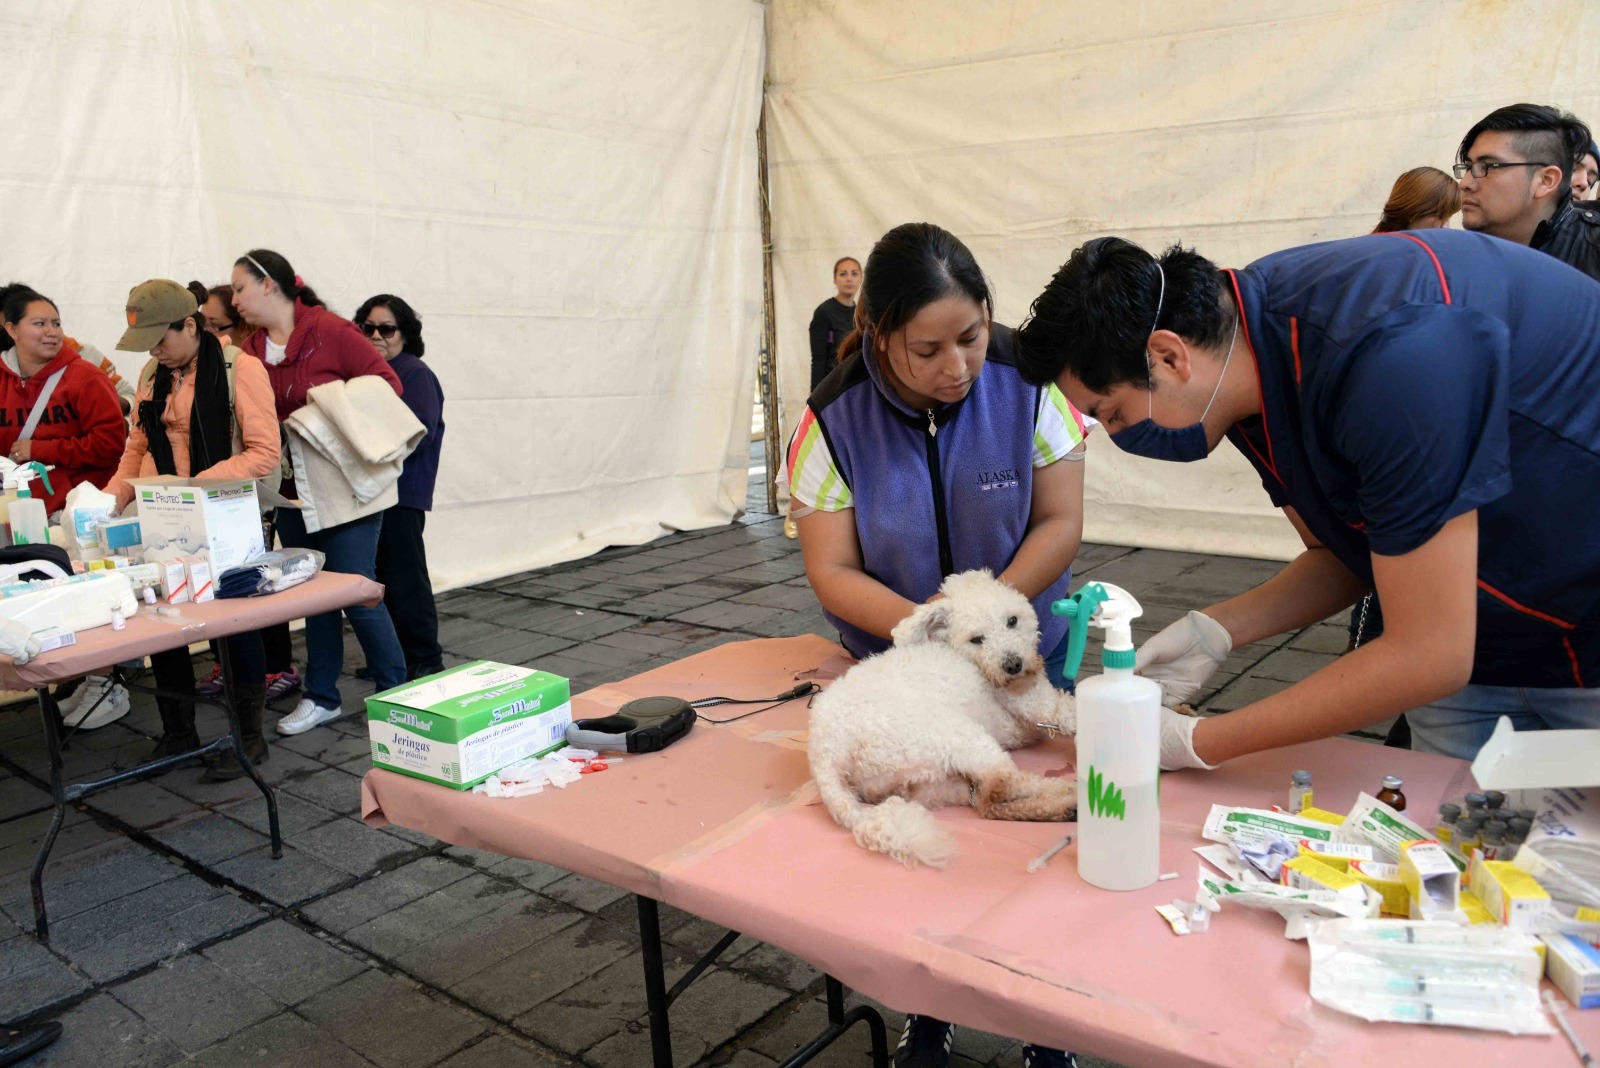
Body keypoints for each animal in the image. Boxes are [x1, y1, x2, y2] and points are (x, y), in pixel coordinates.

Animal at [812, 565, 1075, 869]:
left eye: (1012, 621)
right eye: (977, 639)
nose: (1013, 665)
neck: (958, 653)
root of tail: (826, 756)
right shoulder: (1040, 705)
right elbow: (1070, 713)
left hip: (926, 785)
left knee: (986, 801)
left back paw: (1063, 808)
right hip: (956, 736)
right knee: (1001, 784)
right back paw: (1072, 795)